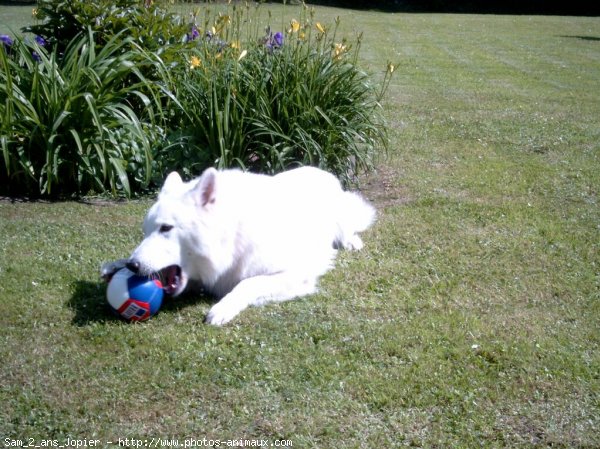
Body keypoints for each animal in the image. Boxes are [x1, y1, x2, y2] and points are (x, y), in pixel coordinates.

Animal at [102, 166, 376, 324]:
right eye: (146, 231)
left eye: (166, 228)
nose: (133, 265)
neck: (230, 236)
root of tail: (320, 170)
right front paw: (116, 265)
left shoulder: (295, 272)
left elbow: (249, 282)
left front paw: (224, 307)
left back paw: (352, 240)